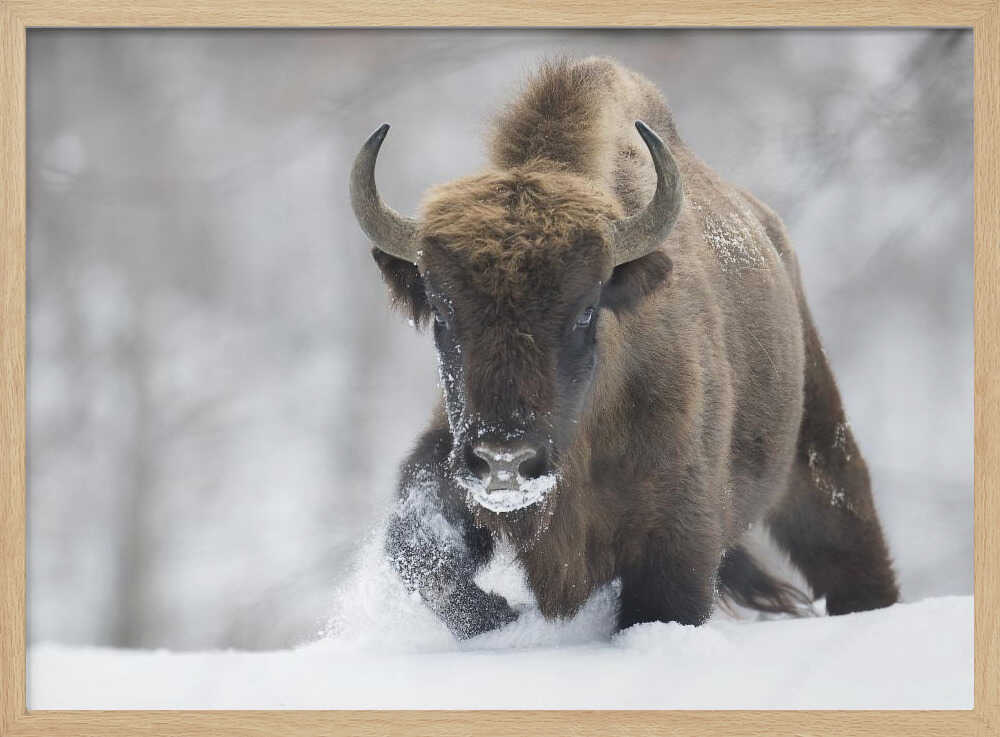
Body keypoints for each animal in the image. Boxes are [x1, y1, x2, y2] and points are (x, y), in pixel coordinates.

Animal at [349, 57, 899, 638]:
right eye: (442, 311)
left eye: (586, 309)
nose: (504, 461)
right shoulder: (448, 459)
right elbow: (421, 552)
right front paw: (503, 614)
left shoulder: (677, 540)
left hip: (818, 450)